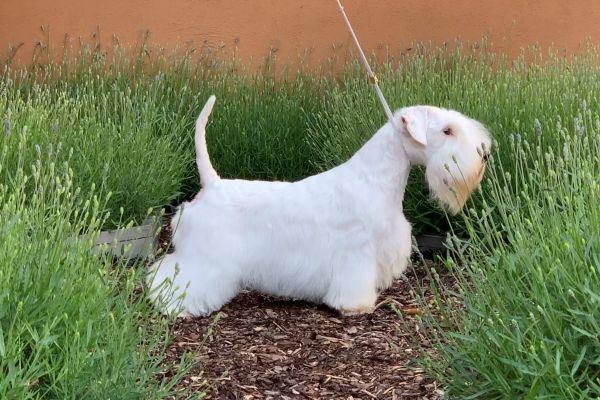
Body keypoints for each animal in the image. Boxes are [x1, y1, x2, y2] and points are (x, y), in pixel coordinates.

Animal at [148, 95, 490, 318]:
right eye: (447, 131)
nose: (484, 153)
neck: (374, 178)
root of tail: (212, 183)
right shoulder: (355, 253)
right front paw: (356, 307)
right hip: (204, 256)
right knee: (175, 276)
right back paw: (174, 306)